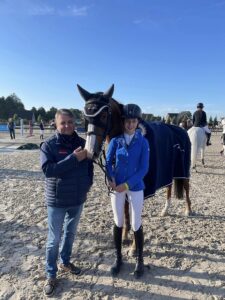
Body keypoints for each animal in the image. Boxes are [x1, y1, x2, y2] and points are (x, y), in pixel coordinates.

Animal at [77, 83, 192, 247]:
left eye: (104, 116)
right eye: (86, 117)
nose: (90, 152)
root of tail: (181, 129)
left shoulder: (140, 186)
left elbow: (135, 215)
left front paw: (133, 246)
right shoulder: (121, 183)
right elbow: (125, 211)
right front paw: (125, 235)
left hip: (183, 169)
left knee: (187, 187)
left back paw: (188, 210)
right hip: (169, 169)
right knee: (169, 186)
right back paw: (165, 209)